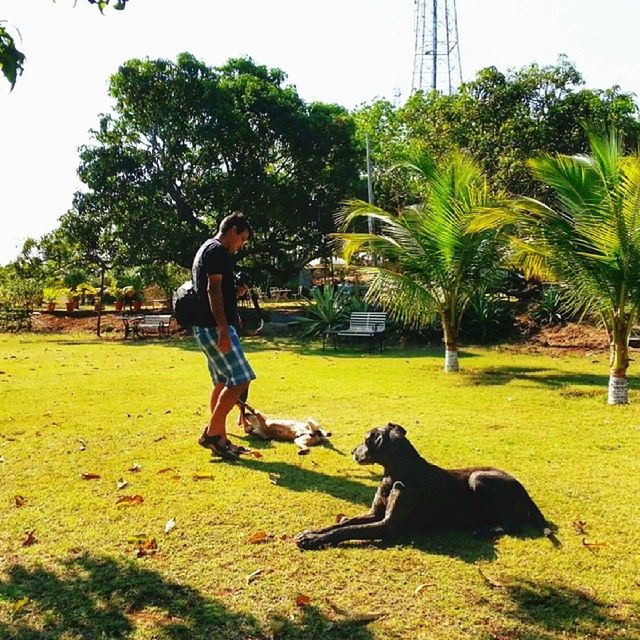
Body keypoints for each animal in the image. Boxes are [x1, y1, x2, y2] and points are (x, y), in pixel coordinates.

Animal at [296, 420, 556, 552]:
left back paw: (486, 530)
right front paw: (313, 533)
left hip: (478, 478)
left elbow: (346, 530)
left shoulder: (387, 525)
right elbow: (343, 523)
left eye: (366, 439)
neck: (396, 472)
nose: (352, 451)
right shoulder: (374, 513)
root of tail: (524, 490)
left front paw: (313, 540)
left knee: (514, 526)